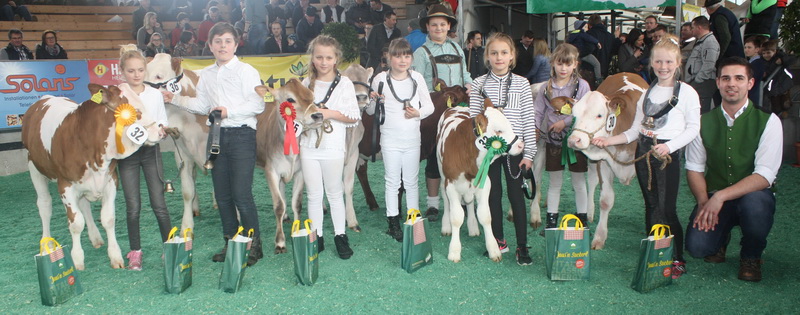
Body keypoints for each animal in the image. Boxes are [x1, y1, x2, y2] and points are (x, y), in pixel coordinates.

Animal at [23, 83, 166, 270]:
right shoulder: (66, 185)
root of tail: (46, 98)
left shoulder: (111, 180)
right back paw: (47, 244)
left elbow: (108, 218)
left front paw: (115, 256)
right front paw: (77, 260)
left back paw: (96, 237)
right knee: (44, 205)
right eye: (136, 110)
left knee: (84, 205)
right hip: (34, 167)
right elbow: (76, 223)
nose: (160, 131)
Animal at [438, 105, 524, 262]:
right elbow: (456, 217)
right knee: (446, 201)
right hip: (442, 176)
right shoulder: (451, 185)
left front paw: (493, 249)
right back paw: (446, 226)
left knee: (470, 203)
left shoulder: (485, 183)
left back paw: (473, 226)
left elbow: (485, 216)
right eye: (498, 130)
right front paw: (454, 251)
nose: (521, 145)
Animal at [564, 73, 648, 251]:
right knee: (592, 181)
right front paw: (599, 237)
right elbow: (605, 200)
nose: (574, 140)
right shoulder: (604, 161)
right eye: (573, 115)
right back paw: (589, 212)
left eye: (599, 115)